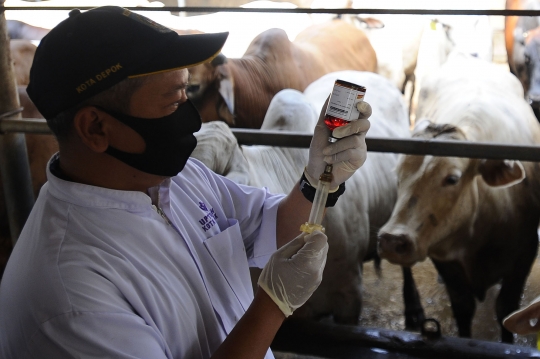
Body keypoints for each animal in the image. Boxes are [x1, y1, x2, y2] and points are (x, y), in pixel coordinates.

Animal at [378, 52, 540, 344]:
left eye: (452, 179)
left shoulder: (525, 252)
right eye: (398, 173)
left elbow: (507, 310)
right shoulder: (442, 255)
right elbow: (463, 307)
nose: (392, 240)